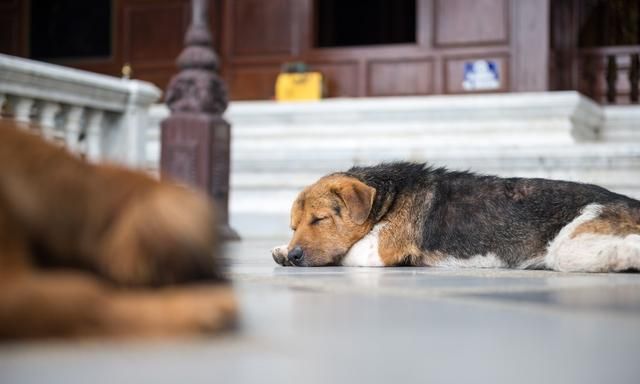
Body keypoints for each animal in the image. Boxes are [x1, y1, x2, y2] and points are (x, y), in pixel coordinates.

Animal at [272, 162, 640, 272]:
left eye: (320, 219)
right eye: (293, 226)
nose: (295, 255)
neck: (390, 196)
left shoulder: (375, 250)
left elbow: (347, 252)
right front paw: (280, 251)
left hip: (571, 243)